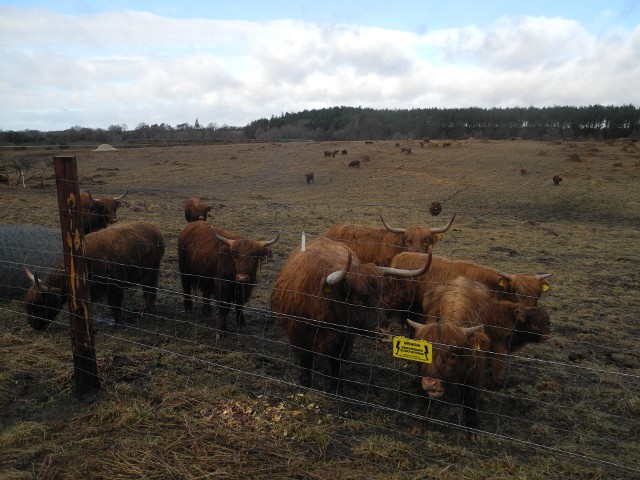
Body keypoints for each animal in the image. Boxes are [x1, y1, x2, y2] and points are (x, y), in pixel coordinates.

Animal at [24, 221, 165, 330]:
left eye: (39, 303)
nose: (33, 325)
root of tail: (154, 229)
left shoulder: (114, 286)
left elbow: (115, 305)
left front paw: (119, 323)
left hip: (151, 274)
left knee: (150, 291)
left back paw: (144, 311)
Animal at [268, 238, 432, 392]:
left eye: (381, 295)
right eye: (359, 297)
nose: (384, 329)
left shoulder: (344, 337)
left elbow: (336, 361)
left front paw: (336, 387)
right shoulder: (298, 334)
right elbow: (306, 359)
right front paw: (306, 382)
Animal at [424, 278, 552, 386]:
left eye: (548, 322)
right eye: (535, 324)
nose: (546, 336)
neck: (512, 320)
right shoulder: (500, 346)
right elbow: (499, 364)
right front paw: (499, 382)